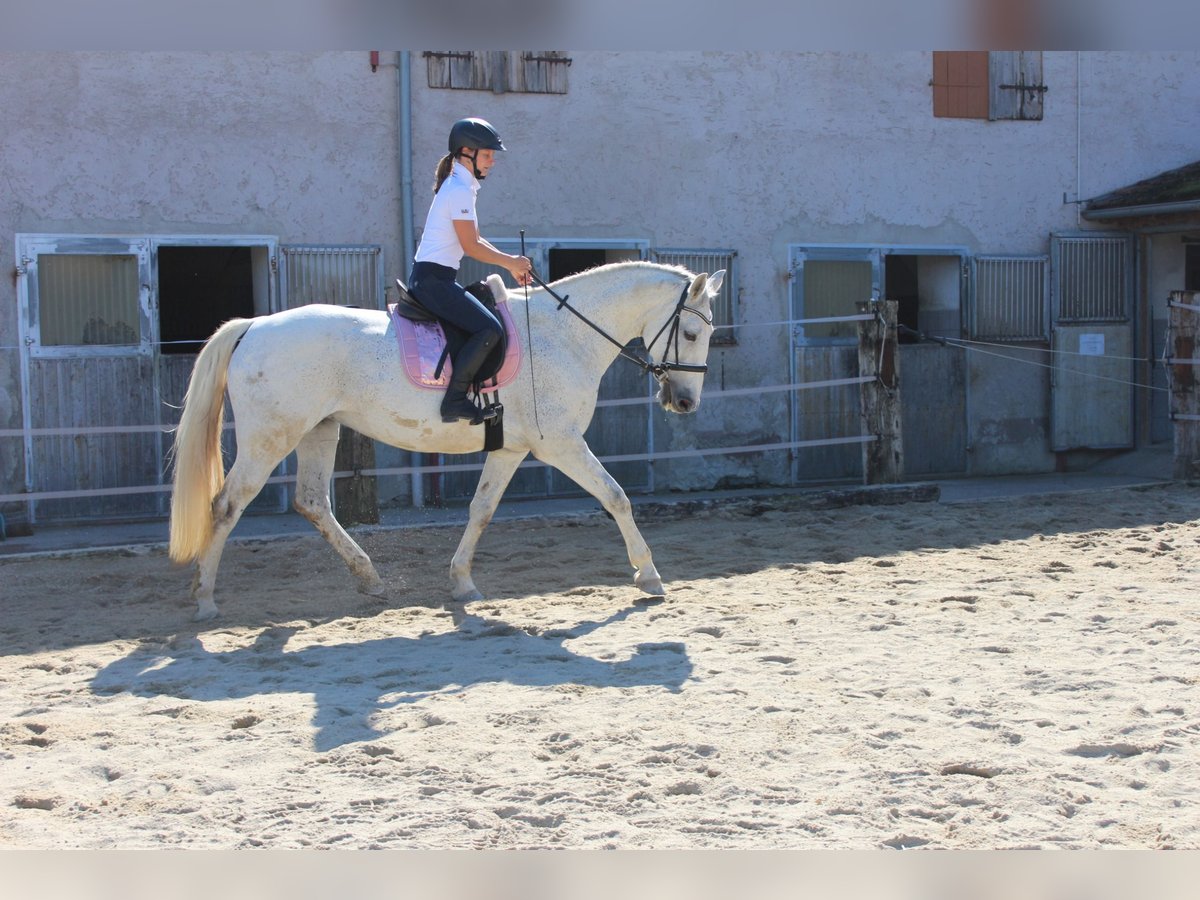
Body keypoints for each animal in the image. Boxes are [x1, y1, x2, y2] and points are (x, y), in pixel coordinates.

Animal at [170, 262, 724, 619]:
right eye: (692, 335)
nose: (685, 402)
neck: (563, 336)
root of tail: (255, 326)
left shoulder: (510, 449)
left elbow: (481, 510)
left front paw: (462, 583)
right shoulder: (561, 444)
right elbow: (616, 497)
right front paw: (648, 575)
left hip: (319, 432)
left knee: (311, 503)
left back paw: (370, 579)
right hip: (270, 439)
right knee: (226, 506)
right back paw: (204, 599)